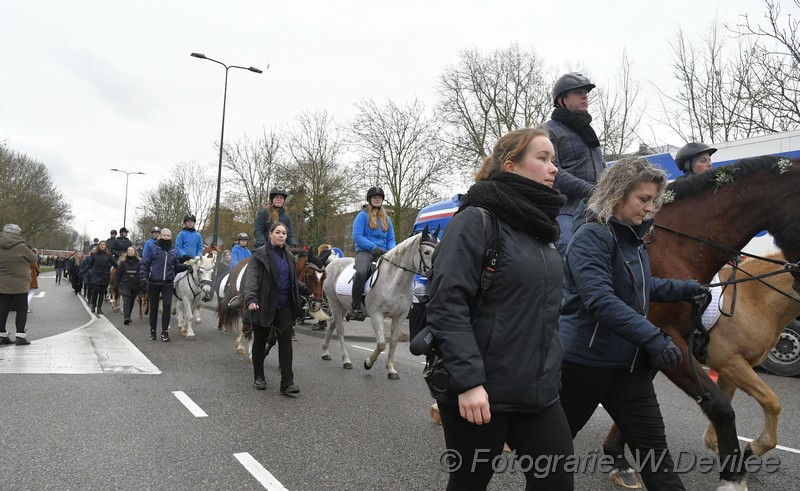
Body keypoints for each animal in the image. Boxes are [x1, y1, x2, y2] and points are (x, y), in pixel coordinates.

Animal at [322, 228, 440, 380]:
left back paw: (325, 352)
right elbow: (382, 344)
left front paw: (391, 369)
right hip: (334, 303)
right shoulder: (376, 315)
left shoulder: (400, 316)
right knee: (340, 330)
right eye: (426, 252)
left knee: (332, 324)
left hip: (342, 306)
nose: (436, 273)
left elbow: (393, 342)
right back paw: (346, 360)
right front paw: (368, 363)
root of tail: (333, 262)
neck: (394, 283)